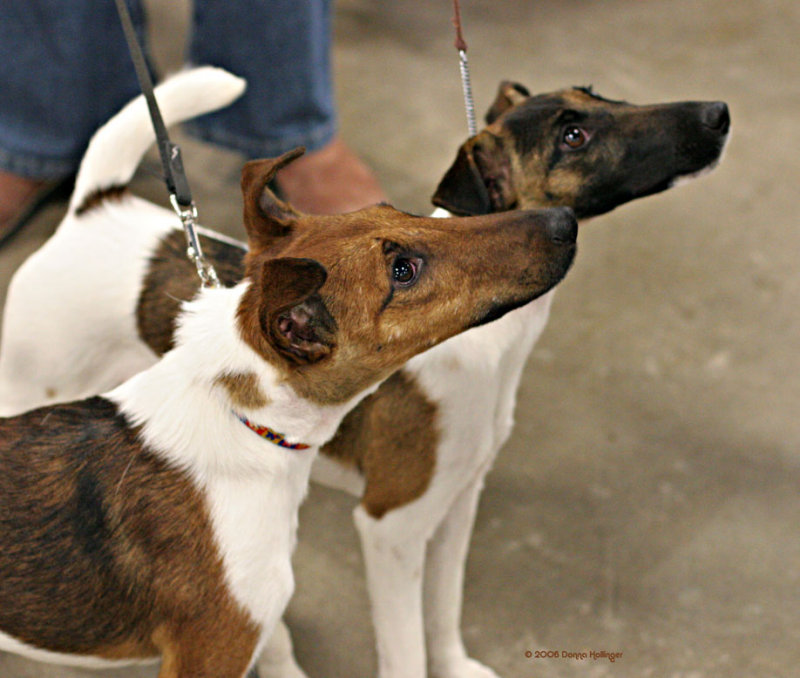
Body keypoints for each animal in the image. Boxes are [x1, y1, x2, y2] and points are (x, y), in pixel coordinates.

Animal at [0, 70, 728, 678]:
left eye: (603, 96)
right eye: (574, 137)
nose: (718, 113)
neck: (491, 346)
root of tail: (93, 210)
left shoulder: (459, 502)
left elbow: (444, 611)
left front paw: (457, 666)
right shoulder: (392, 529)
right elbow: (405, 648)